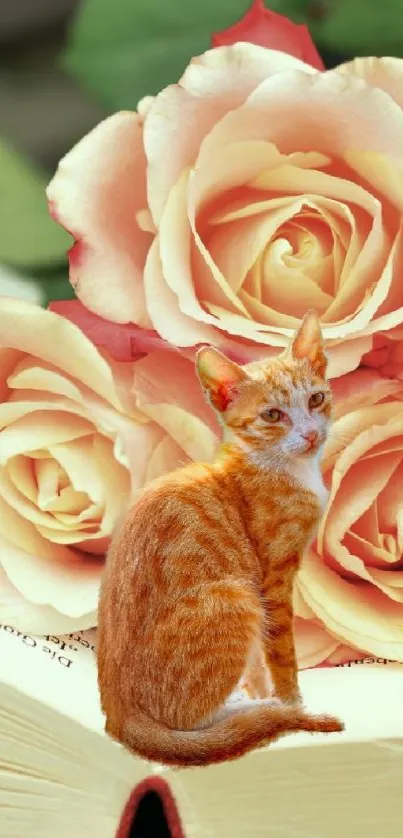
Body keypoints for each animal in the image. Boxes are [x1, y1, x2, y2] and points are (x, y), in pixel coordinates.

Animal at [97, 310, 344, 768]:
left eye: (316, 400)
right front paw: (290, 701)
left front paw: (261, 687)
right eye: (272, 415)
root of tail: (118, 716)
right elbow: (281, 654)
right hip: (236, 596)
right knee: (193, 722)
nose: (309, 434)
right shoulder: (272, 582)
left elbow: (258, 660)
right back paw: (258, 712)